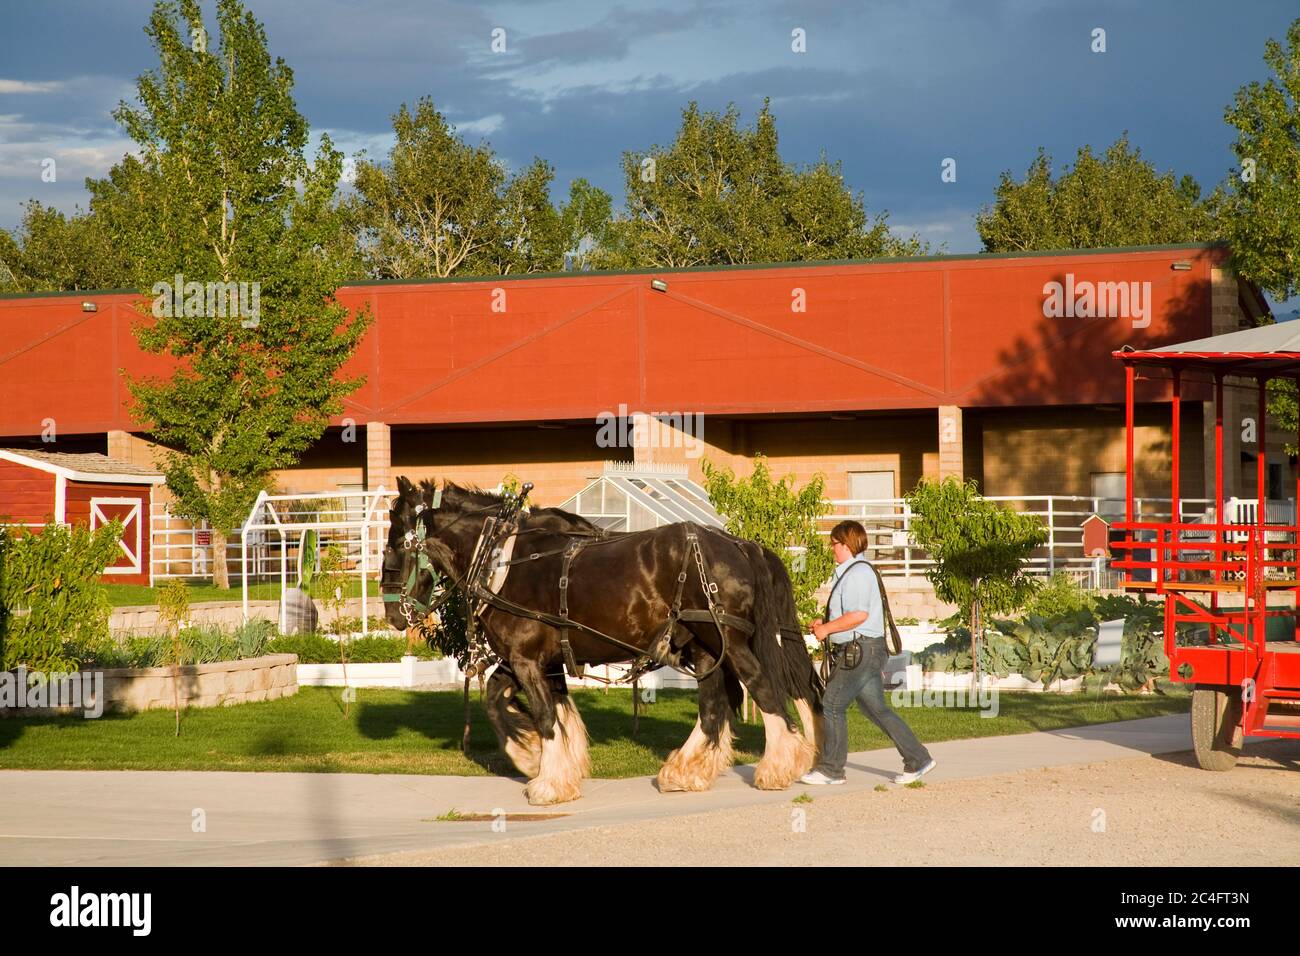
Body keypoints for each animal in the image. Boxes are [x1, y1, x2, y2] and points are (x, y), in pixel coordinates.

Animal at [379, 478, 821, 806]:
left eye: (396, 542)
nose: (392, 613)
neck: (502, 560)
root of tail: (742, 544)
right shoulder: (538, 662)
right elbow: (507, 702)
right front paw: (535, 758)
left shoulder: (525, 660)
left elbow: (545, 717)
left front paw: (546, 781)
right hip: (704, 646)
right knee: (715, 703)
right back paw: (685, 771)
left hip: (725, 638)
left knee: (761, 687)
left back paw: (776, 767)